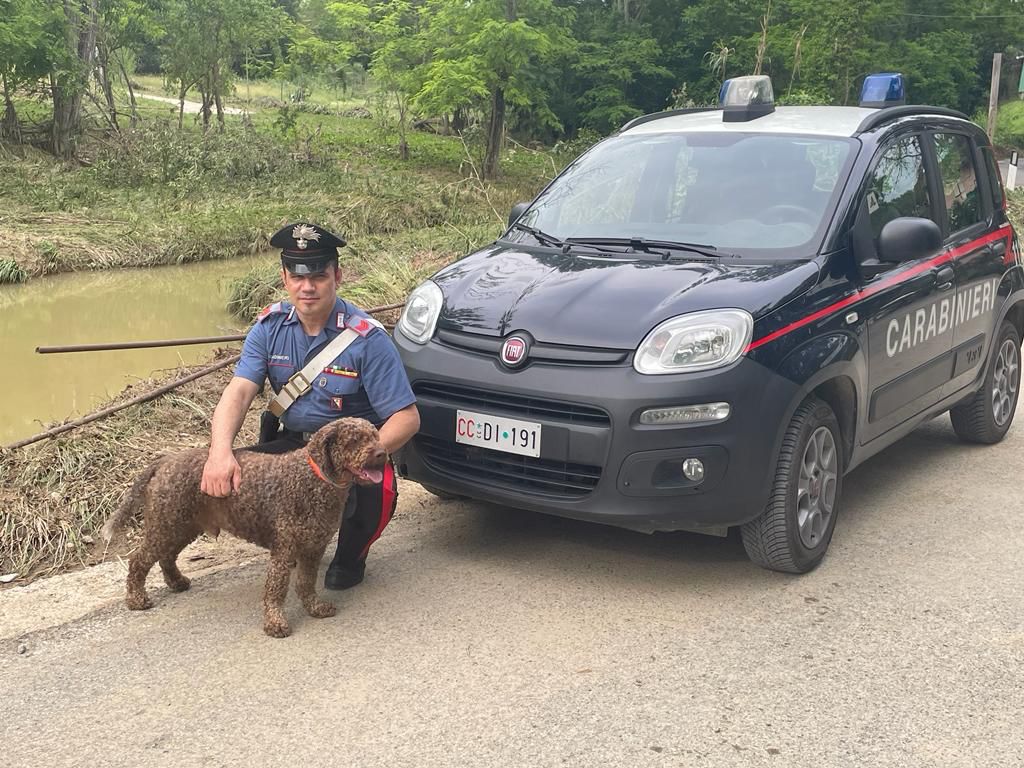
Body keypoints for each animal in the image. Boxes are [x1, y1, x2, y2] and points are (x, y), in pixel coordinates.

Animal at [101, 417, 385, 638]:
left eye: (375, 436)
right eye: (354, 440)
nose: (382, 453)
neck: (313, 480)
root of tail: (165, 460)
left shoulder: (313, 547)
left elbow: (306, 582)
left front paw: (314, 608)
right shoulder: (285, 549)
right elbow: (277, 587)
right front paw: (275, 622)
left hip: (182, 525)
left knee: (166, 557)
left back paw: (177, 582)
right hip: (166, 524)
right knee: (139, 560)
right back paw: (136, 598)